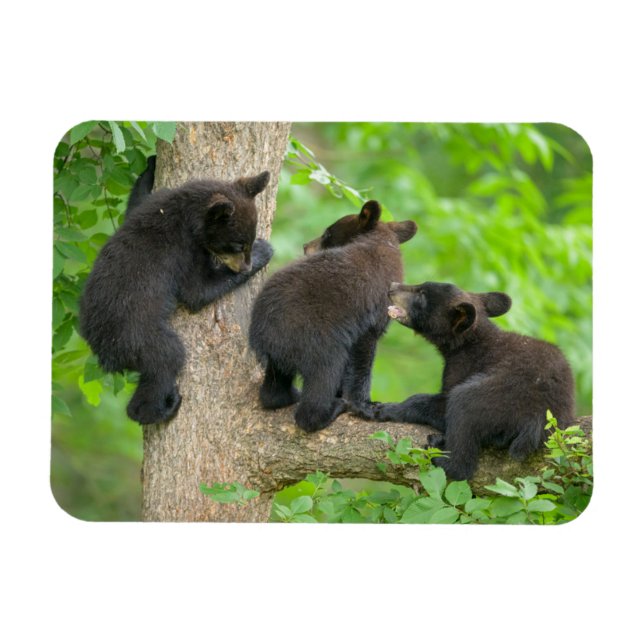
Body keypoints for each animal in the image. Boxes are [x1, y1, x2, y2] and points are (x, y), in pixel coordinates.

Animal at [79, 161, 273, 425]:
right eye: (237, 245)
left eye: (248, 240)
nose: (244, 266)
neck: (184, 212)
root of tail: (103, 351)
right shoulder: (182, 251)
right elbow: (196, 291)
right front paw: (265, 252)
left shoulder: (152, 204)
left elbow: (135, 203)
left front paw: (150, 166)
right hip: (138, 336)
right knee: (167, 359)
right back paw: (161, 408)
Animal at [249, 200, 417, 432]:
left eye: (328, 233)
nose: (305, 246)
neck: (381, 242)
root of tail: (262, 336)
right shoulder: (369, 314)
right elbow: (362, 357)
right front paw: (365, 404)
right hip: (317, 340)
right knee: (325, 375)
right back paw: (330, 409)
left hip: (282, 355)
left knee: (275, 387)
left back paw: (286, 396)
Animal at [350, 281, 576, 480]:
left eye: (422, 294)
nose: (392, 286)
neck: (468, 342)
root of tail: (539, 417)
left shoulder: (464, 365)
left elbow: (440, 403)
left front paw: (381, 408)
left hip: (502, 395)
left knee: (463, 410)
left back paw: (441, 453)